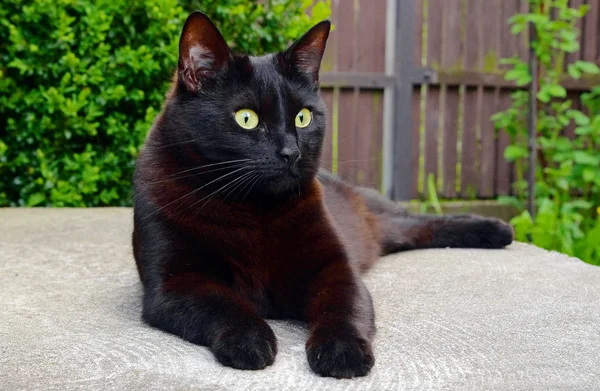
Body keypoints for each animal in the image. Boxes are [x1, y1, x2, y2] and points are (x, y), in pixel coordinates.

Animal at [130, 12, 510, 380]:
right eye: (246, 118)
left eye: (303, 117)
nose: (291, 152)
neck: (253, 211)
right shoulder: (174, 282)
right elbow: (222, 302)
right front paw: (249, 340)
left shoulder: (334, 266)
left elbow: (343, 306)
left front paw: (342, 351)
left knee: (419, 220)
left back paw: (497, 229)